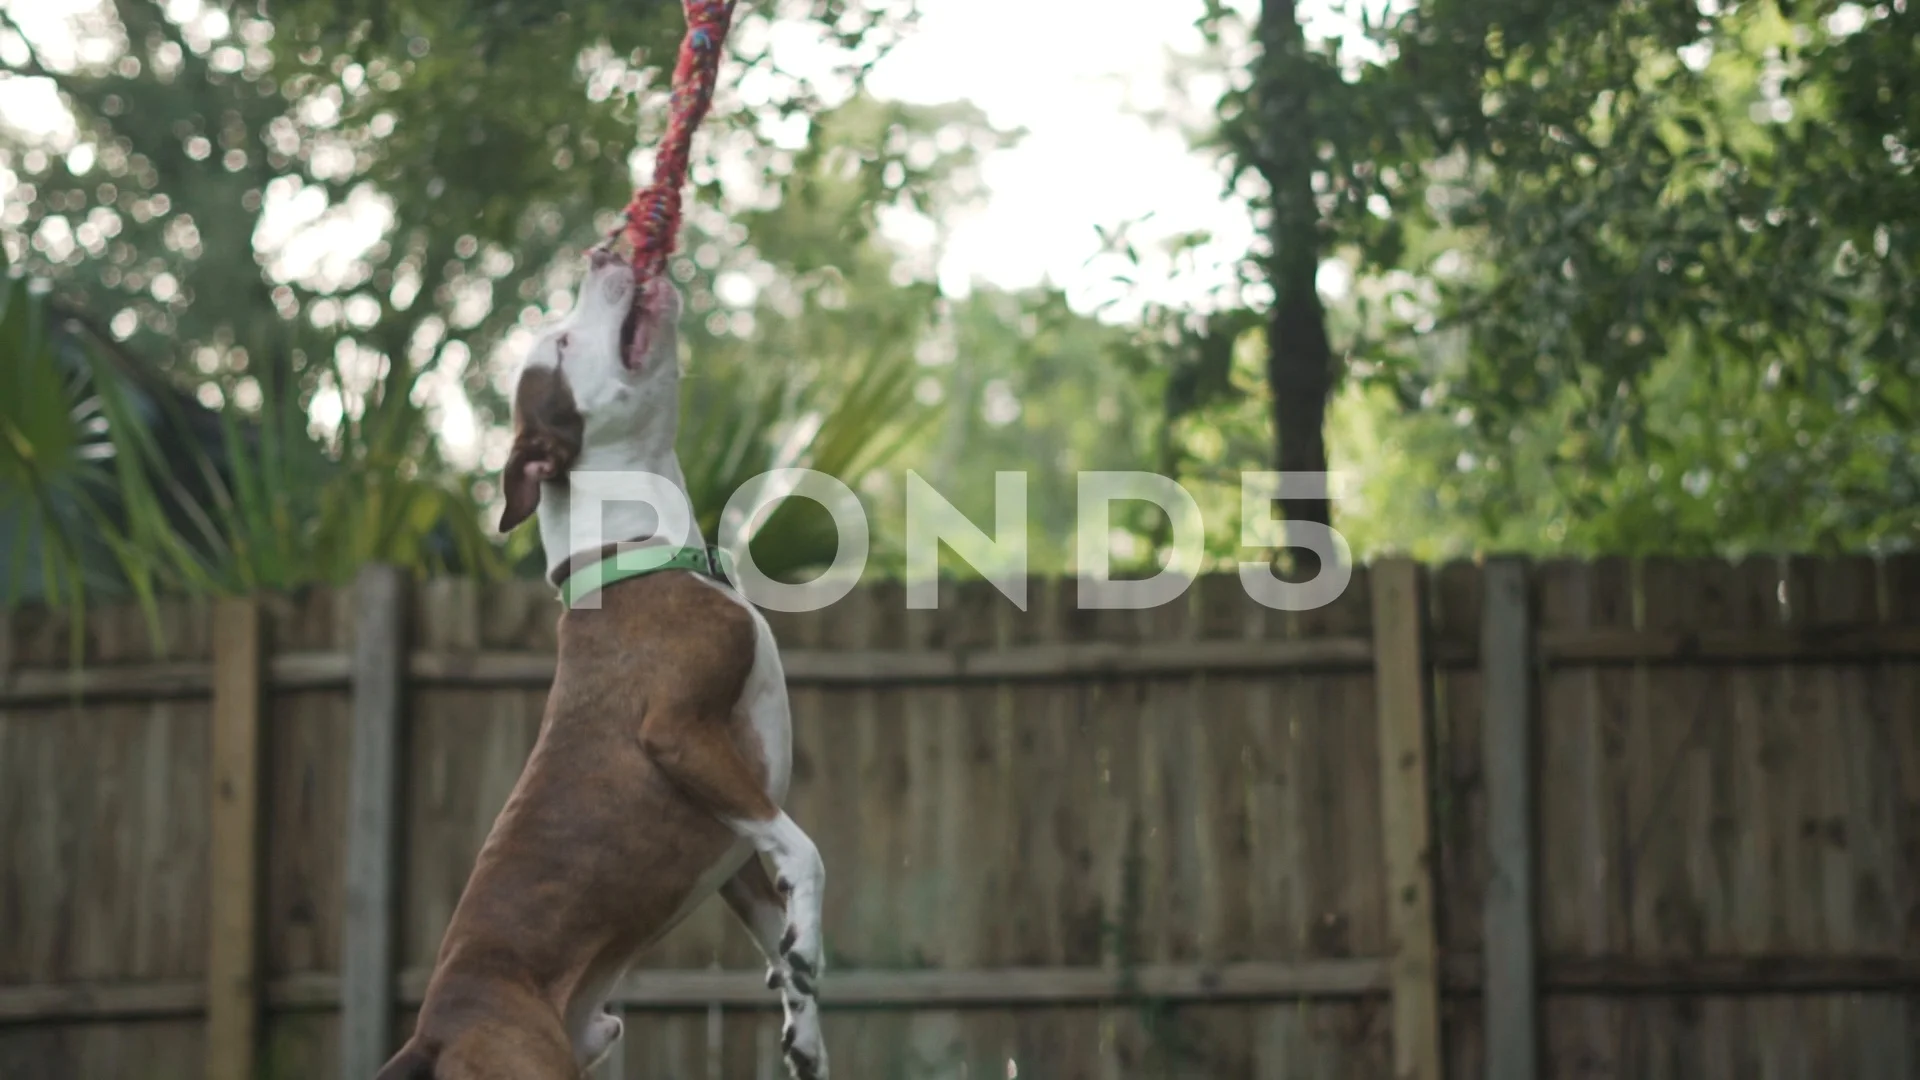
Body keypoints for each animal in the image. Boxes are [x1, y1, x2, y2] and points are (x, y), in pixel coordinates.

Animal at [374, 247, 825, 1068]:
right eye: (559, 344)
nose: (604, 252)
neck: (636, 551)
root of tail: (434, 1030)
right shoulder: (679, 736)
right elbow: (806, 854)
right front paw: (808, 948)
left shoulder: (734, 848)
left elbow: (778, 928)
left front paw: (804, 1023)